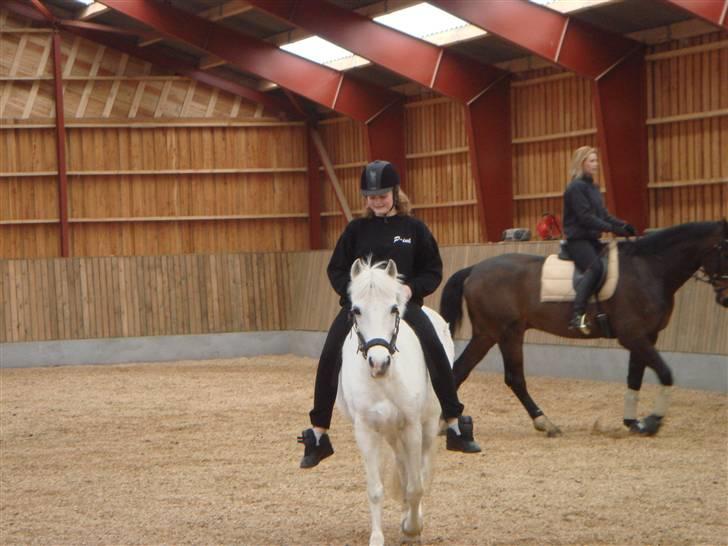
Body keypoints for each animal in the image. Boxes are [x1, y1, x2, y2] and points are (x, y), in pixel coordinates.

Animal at [336, 258, 452, 546]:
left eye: (393, 309)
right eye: (356, 310)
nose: (379, 363)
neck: (384, 381)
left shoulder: (412, 425)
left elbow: (416, 485)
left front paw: (413, 528)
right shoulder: (366, 430)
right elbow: (376, 489)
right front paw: (378, 537)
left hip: (427, 424)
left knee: (420, 469)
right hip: (390, 431)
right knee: (402, 467)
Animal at [440, 220, 728, 437]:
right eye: (724, 249)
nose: (725, 298)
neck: (649, 269)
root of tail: (475, 269)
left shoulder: (647, 336)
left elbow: (635, 377)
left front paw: (632, 422)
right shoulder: (633, 336)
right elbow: (666, 373)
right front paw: (653, 421)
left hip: (487, 334)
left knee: (460, 370)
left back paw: (447, 423)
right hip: (507, 332)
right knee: (514, 378)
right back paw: (545, 423)